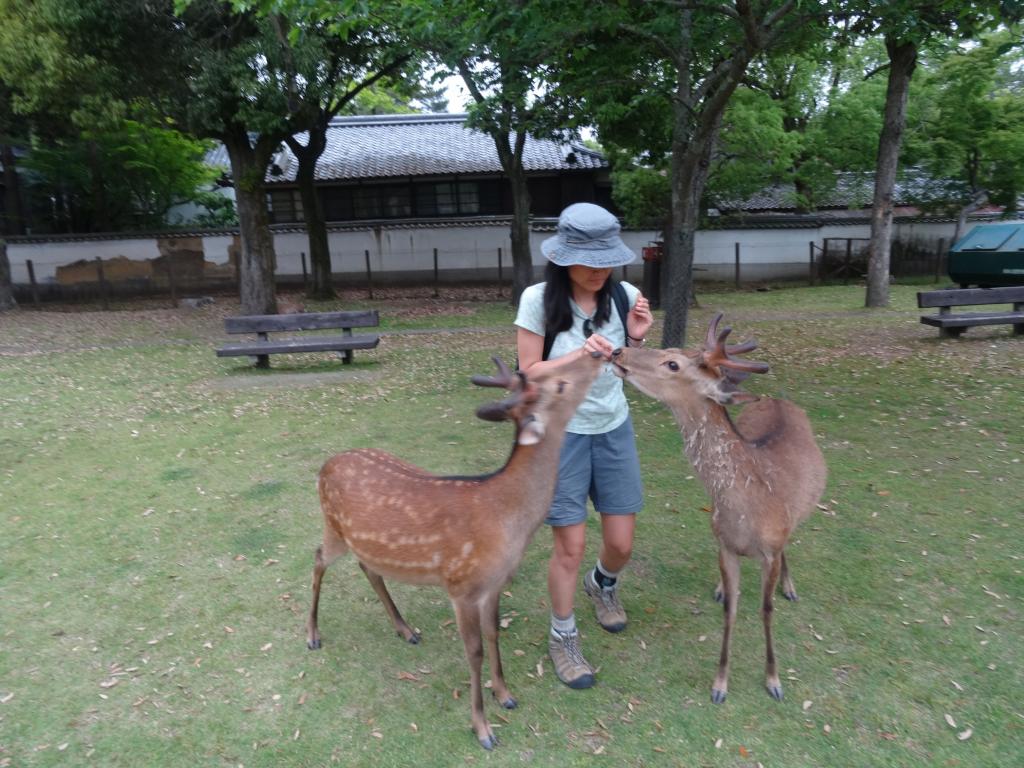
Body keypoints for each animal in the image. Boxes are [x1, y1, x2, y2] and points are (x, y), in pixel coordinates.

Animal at [307, 354, 602, 753]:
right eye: (559, 384)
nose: (599, 354)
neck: (507, 520)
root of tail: (324, 466)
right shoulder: (460, 585)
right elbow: (473, 651)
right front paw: (483, 729)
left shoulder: (493, 584)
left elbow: (494, 634)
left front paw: (505, 694)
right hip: (333, 525)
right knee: (318, 558)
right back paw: (313, 635)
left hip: (360, 539)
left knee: (368, 567)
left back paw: (406, 629)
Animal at [610, 315, 827, 708]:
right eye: (671, 351)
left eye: (672, 363)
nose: (619, 351)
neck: (749, 508)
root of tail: (777, 399)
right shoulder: (725, 545)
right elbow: (732, 611)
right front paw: (720, 684)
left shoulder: (770, 549)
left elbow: (766, 609)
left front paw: (773, 680)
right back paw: (721, 588)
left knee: (790, 543)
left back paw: (789, 586)